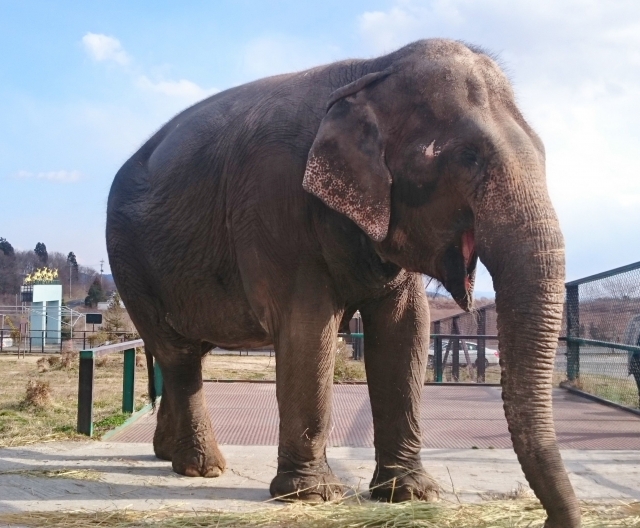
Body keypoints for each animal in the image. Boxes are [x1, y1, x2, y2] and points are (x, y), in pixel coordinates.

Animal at [107, 39, 584, 524]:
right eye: (468, 157)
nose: (550, 520)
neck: (373, 71)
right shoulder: (275, 202)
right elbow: (308, 328)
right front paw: (311, 496)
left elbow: (405, 329)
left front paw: (410, 493)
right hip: (129, 257)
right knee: (179, 355)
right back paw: (202, 468)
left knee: (189, 352)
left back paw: (168, 456)